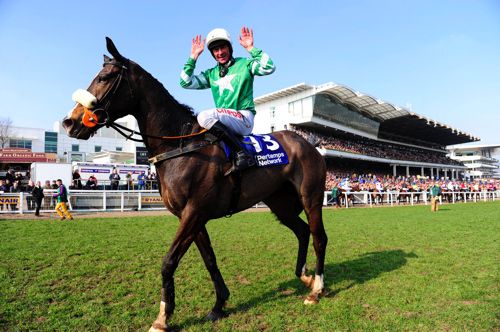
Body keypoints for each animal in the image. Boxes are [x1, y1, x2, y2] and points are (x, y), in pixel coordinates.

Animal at [62, 37, 328, 330]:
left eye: (105, 77)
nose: (70, 122)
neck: (180, 145)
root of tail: (310, 142)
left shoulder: (194, 212)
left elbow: (168, 262)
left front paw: (163, 317)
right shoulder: (192, 216)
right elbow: (209, 259)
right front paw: (219, 304)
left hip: (311, 198)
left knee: (319, 237)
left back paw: (316, 289)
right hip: (280, 203)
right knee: (302, 232)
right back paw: (305, 277)